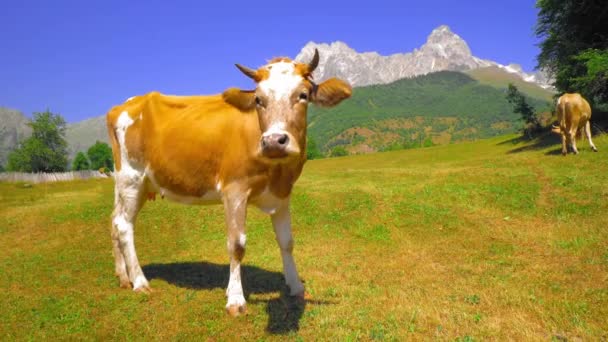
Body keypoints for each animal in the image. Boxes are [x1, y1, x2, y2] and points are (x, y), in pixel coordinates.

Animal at [106, 49, 350, 314]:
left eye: (303, 95)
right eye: (258, 100)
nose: (274, 141)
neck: (277, 172)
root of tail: (126, 103)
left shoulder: (283, 194)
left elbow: (287, 242)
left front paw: (296, 286)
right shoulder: (234, 190)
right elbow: (237, 245)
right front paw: (235, 299)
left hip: (132, 184)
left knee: (115, 221)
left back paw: (123, 277)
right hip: (131, 177)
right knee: (124, 225)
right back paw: (140, 281)